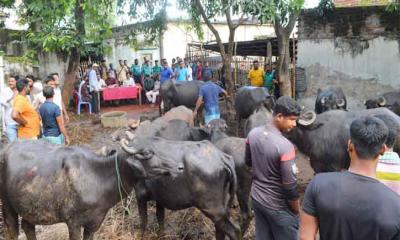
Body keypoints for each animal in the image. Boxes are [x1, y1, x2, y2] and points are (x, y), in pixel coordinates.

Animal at [0, 140, 175, 239]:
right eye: (146, 153)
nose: (177, 166)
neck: (97, 175)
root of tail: (6, 148)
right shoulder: (73, 222)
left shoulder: (94, 223)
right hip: (7, 205)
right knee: (13, 229)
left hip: (30, 209)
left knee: (28, 227)